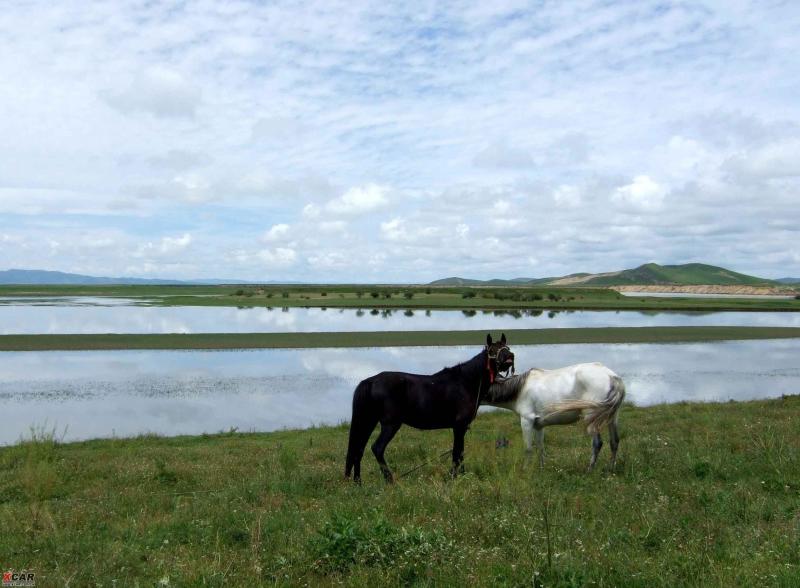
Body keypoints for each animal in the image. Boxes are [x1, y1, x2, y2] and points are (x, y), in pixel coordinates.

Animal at [342, 334, 512, 484]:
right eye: (492, 350)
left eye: (507, 347)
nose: (510, 357)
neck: (465, 382)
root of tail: (370, 381)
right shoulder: (459, 426)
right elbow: (457, 452)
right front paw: (454, 477)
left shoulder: (461, 427)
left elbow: (460, 452)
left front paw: (461, 476)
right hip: (390, 424)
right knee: (377, 448)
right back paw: (389, 480)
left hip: (368, 421)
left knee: (358, 449)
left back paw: (358, 482)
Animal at [482, 360, 624, 470]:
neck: (520, 389)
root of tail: (612, 377)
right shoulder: (538, 425)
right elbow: (540, 447)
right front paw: (542, 468)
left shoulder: (527, 420)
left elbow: (528, 448)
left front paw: (525, 470)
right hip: (612, 417)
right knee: (614, 441)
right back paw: (610, 469)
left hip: (591, 419)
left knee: (597, 443)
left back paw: (590, 469)